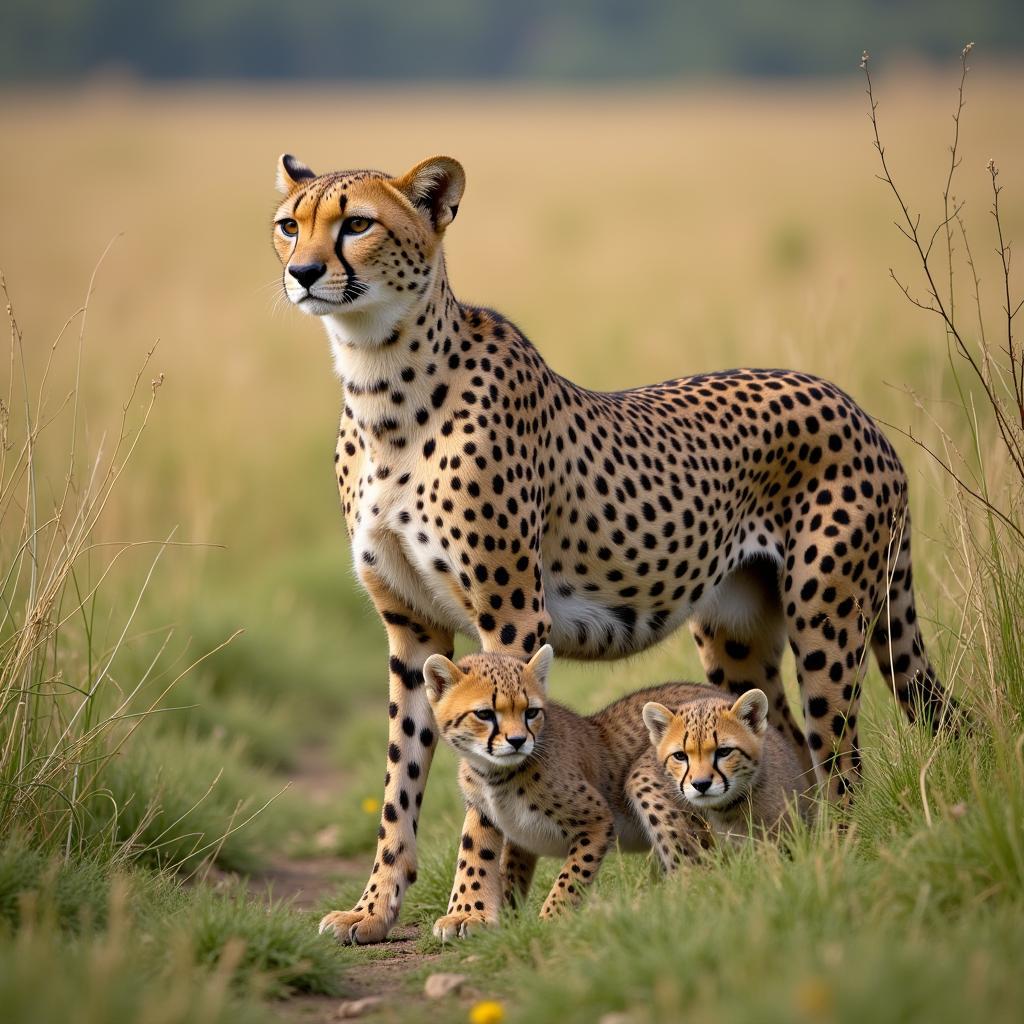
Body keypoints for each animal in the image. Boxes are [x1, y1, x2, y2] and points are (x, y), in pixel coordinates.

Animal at [419, 647, 708, 937]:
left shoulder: (599, 820)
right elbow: (475, 859)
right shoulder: (484, 812)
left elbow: (572, 876)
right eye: (485, 714)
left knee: (700, 871)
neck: (494, 775)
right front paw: (468, 913)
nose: (518, 741)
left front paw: (550, 922)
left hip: (644, 779)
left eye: (531, 712)